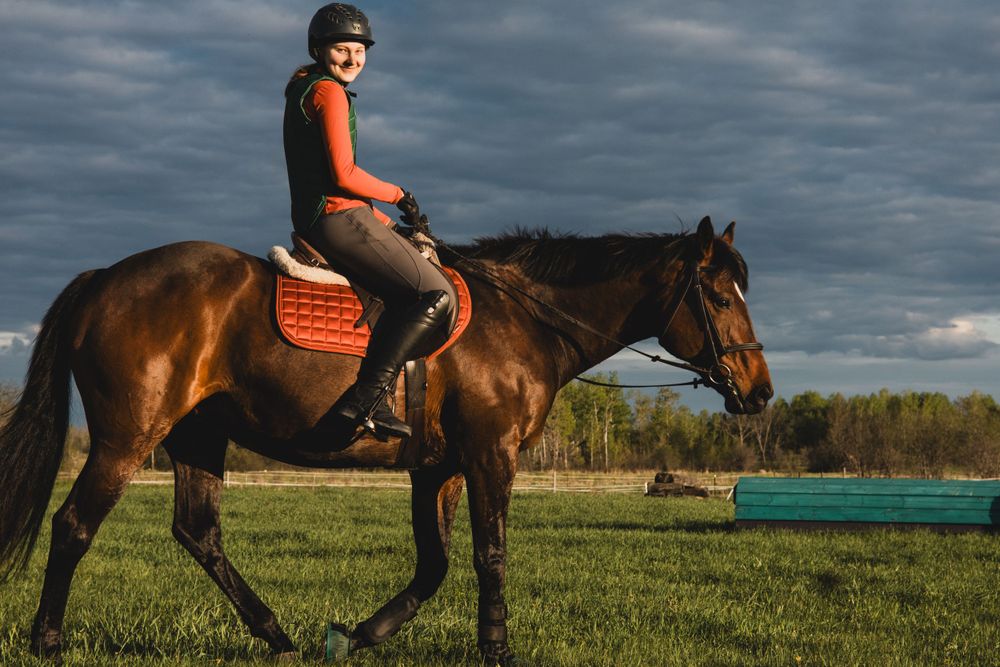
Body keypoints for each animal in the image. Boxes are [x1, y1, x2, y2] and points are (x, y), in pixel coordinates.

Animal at [0, 215, 771, 664]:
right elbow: (489, 555)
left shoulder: (439, 468)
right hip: (129, 437)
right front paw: (497, 648)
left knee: (198, 532)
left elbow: (435, 565)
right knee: (74, 525)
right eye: (720, 296)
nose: (759, 391)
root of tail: (105, 277)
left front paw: (357, 634)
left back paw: (276, 635)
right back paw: (48, 641)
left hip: (196, 437)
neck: (522, 319)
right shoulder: (491, 456)